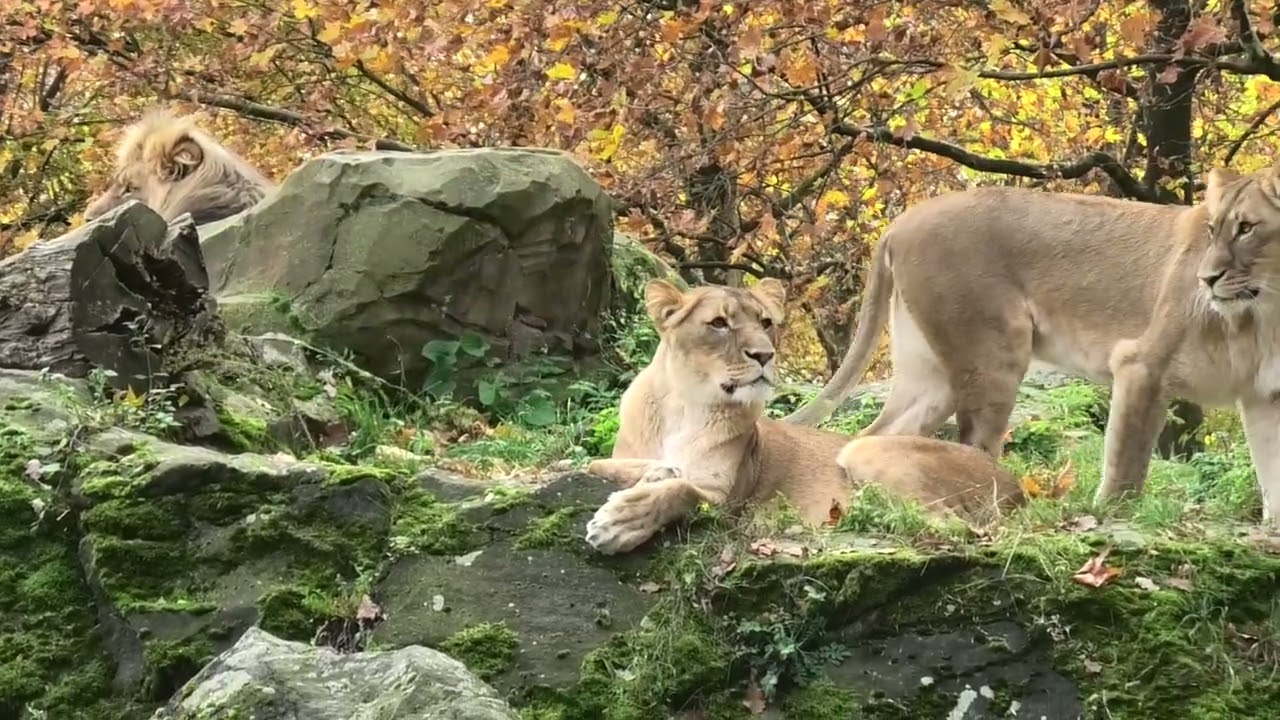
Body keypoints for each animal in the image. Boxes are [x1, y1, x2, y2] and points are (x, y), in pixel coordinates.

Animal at [583, 278, 1025, 555]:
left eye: (765, 322)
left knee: (952, 524)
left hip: (865, 450)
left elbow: (681, 491)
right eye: (719, 324)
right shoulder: (622, 456)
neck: (687, 405)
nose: (764, 355)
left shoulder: (728, 501)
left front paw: (621, 522)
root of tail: (1016, 485)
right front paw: (655, 473)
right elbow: (601, 464)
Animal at [781, 163, 1280, 522]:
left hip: (932, 379)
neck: (1268, 310)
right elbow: (1126, 467)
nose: (1206, 278)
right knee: (977, 450)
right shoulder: (1140, 365)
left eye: (1246, 228)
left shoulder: (1265, 397)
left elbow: (1271, 475)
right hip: (994, 357)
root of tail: (902, 220)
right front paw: (1111, 517)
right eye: (1213, 229)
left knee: (876, 435)